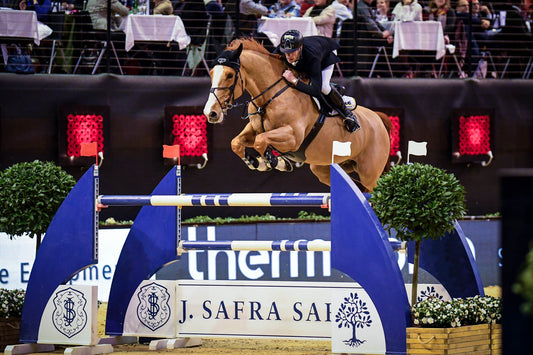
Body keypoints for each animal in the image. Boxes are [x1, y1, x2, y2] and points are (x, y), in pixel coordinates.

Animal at [203, 38, 390, 192]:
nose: (211, 113)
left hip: (369, 173)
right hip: (326, 168)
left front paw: (275, 162)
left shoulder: (292, 137)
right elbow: (236, 143)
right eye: (211, 73)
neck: (270, 97)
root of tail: (378, 119)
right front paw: (257, 162)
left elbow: (260, 141)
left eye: (230, 75)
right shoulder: (254, 129)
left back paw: (351, 120)